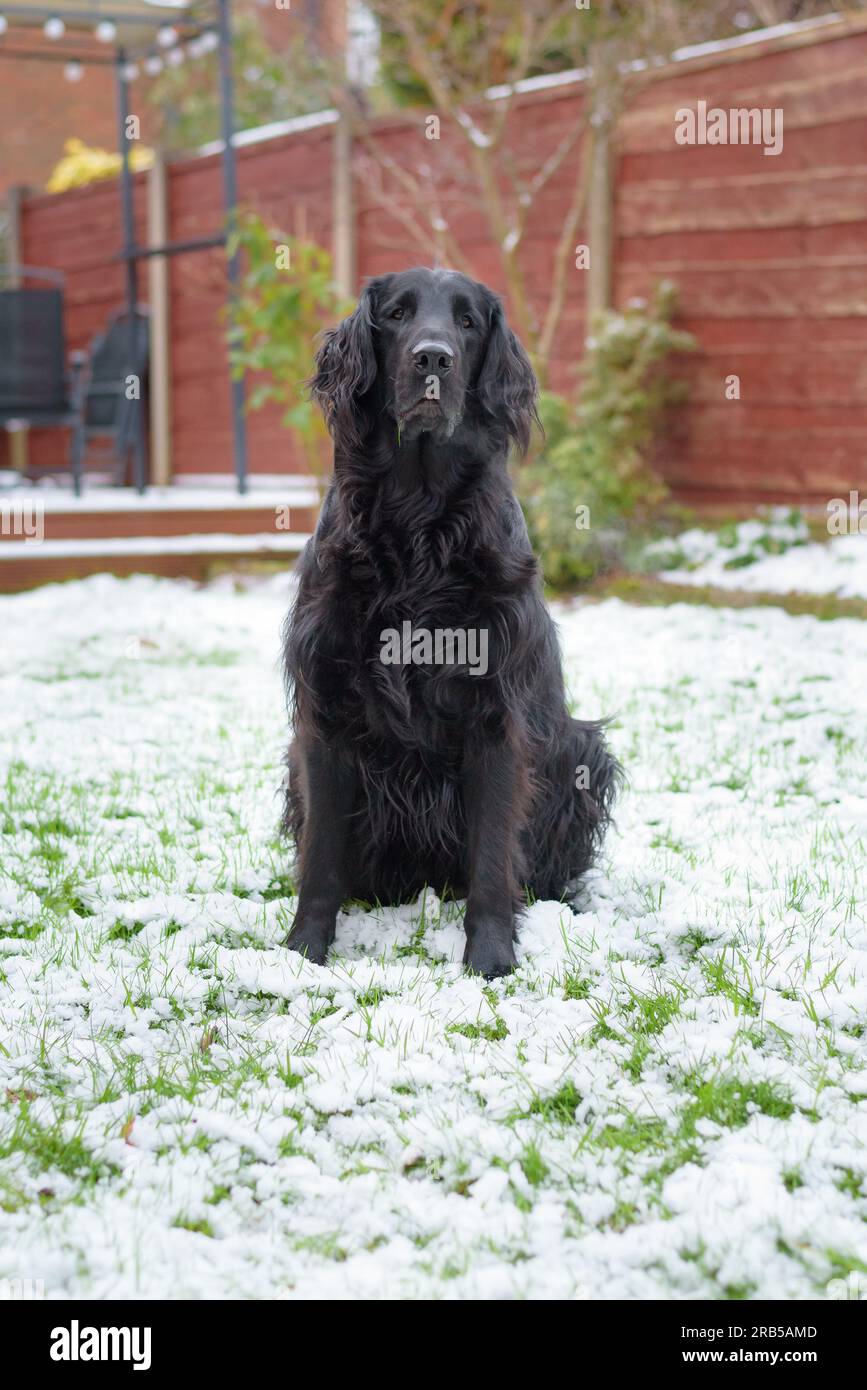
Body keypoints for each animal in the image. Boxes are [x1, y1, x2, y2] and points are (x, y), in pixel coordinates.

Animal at [283, 268, 616, 978]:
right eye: (397, 314)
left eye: (467, 322)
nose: (432, 358)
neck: (418, 517)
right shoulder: (324, 713)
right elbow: (320, 855)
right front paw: (302, 953)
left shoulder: (497, 718)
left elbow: (492, 860)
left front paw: (490, 959)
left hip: (582, 750)